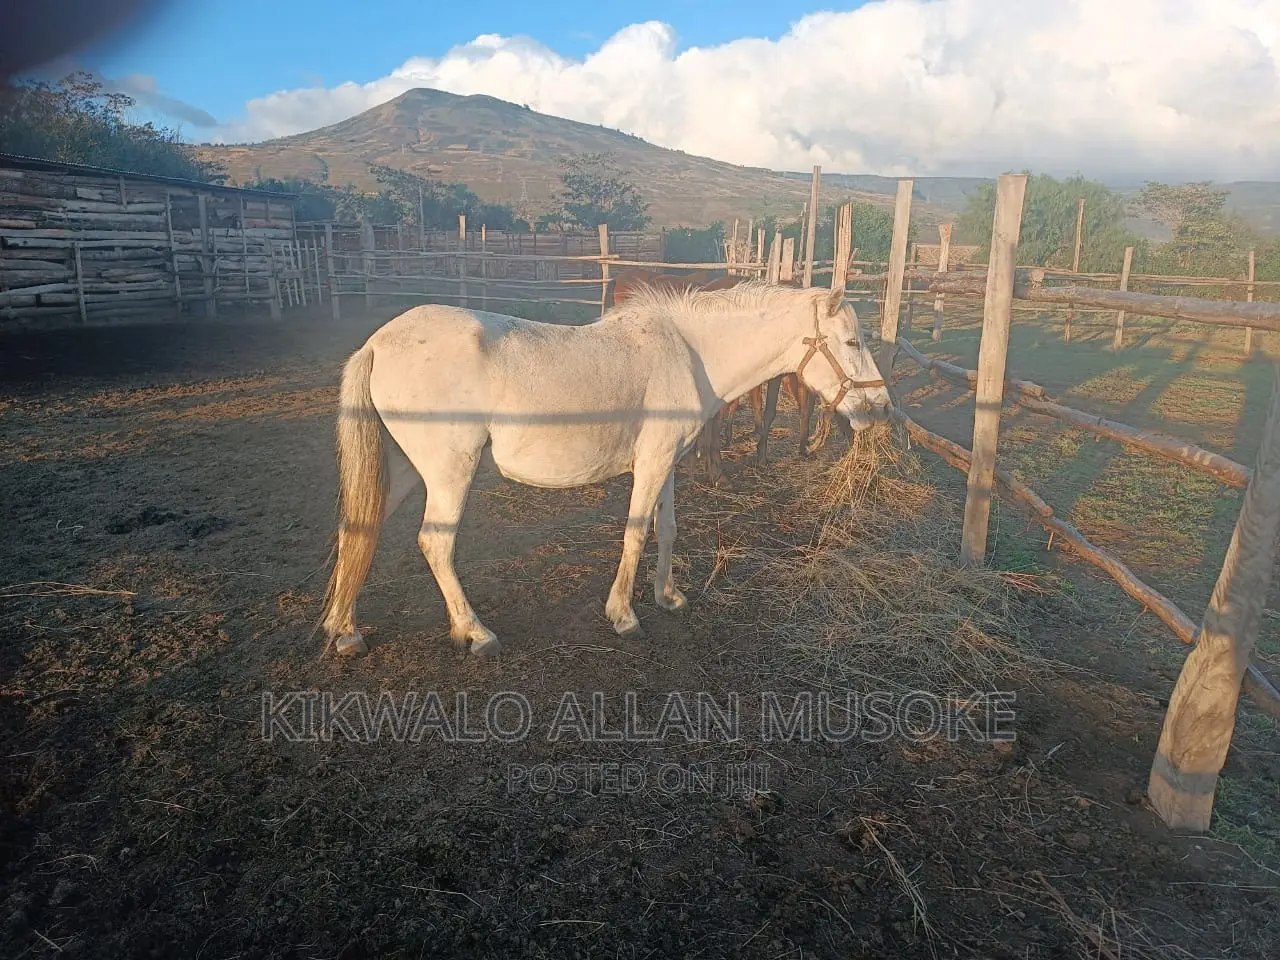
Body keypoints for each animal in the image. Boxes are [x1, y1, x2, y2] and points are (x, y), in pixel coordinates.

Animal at [320, 280, 891, 658]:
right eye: (852, 342)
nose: (881, 409)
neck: (689, 353)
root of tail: (377, 343)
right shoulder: (652, 462)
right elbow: (636, 533)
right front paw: (624, 615)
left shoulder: (666, 463)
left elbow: (667, 529)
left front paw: (668, 596)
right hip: (448, 471)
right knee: (435, 543)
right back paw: (475, 632)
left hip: (402, 470)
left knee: (358, 529)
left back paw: (344, 630)